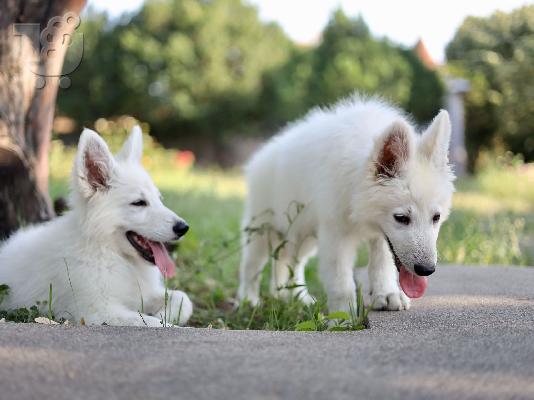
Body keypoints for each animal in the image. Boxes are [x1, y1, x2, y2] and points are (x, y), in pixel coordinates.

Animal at [0, 126, 193, 326]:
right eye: (139, 203)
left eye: (159, 199)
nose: (183, 227)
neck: (108, 252)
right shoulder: (98, 312)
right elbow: (155, 323)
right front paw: (166, 321)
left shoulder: (142, 294)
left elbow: (182, 298)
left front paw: (164, 313)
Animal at [239, 94, 456, 312]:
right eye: (401, 218)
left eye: (436, 217)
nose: (427, 270)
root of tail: (261, 156)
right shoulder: (336, 235)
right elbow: (341, 281)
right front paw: (344, 314)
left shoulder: (382, 236)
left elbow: (381, 263)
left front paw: (386, 293)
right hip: (263, 231)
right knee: (251, 265)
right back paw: (249, 300)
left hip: (303, 234)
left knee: (291, 262)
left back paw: (293, 297)